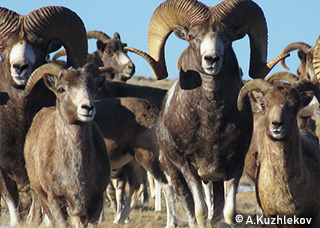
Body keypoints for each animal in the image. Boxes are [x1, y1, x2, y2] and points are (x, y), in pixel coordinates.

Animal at [22, 62, 110, 228]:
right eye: (61, 89)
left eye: (92, 88)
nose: (87, 108)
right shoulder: (55, 201)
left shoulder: (96, 203)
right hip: (42, 199)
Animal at [125, 0, 288, 226]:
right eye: (193, 36)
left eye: (227, 37)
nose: (212, 59)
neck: (211, 123)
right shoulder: (188, 167)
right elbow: (200, 212)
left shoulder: (233, 165)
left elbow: (228, 212)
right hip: (175, 174)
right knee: (189, 207)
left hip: (215, 180)